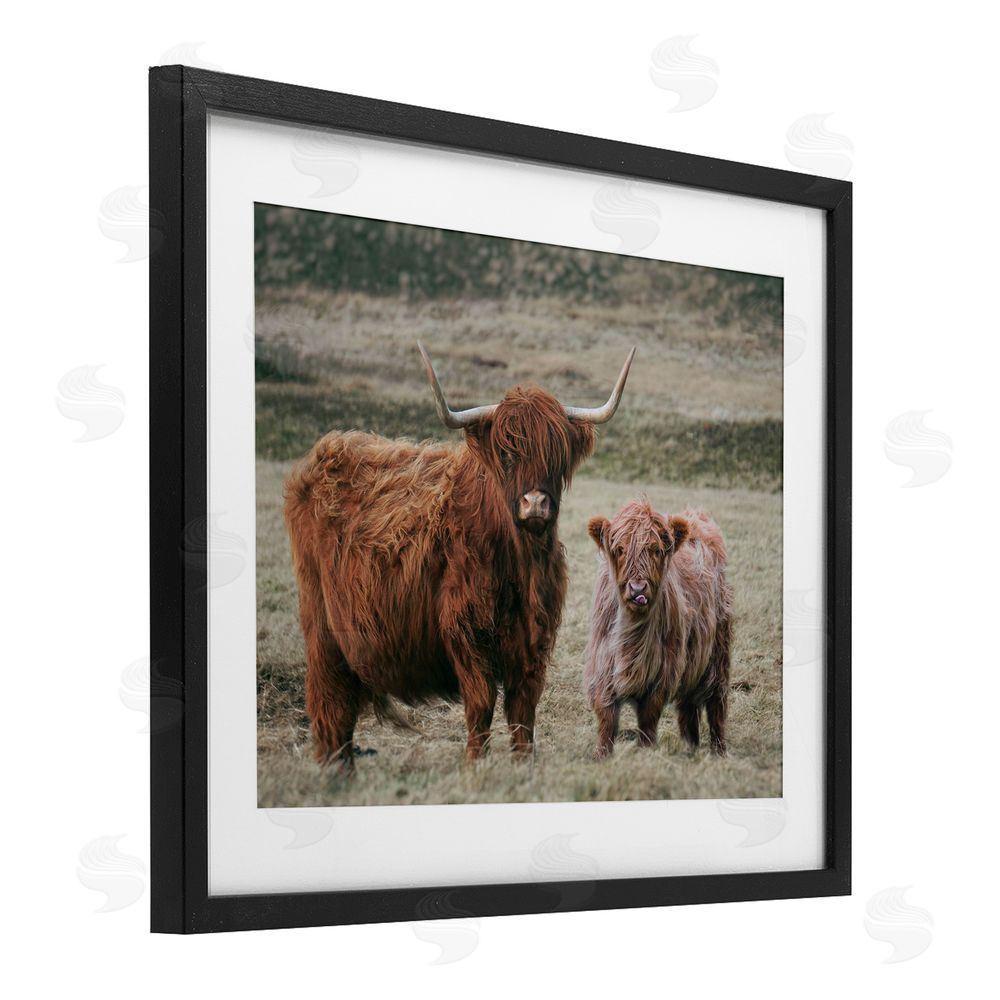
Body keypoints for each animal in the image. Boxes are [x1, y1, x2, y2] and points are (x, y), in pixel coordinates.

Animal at [284, 342, 635, 772]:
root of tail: (326, 451)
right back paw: (335, 770)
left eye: (556, 453)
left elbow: (523, 711)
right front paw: (474, 763)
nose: (535, 503)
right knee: (329, 701)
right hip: (322, 624)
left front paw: (523, 764)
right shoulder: (467, 632)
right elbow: (481, 705)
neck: (520, 564)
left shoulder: (533, 640)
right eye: (506, 453)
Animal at [583, 498, 732, 758]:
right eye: (620, 549)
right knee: (688, 706)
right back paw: (690, 748)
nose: (637, 589)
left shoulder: (663, 671)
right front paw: (602, 755)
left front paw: (645, 752)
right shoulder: (602, 666)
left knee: (716, 702)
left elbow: (648, 718)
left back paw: (718, 752)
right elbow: (606, 718)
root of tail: (696, 515)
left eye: (656, 550)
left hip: (718, 651)